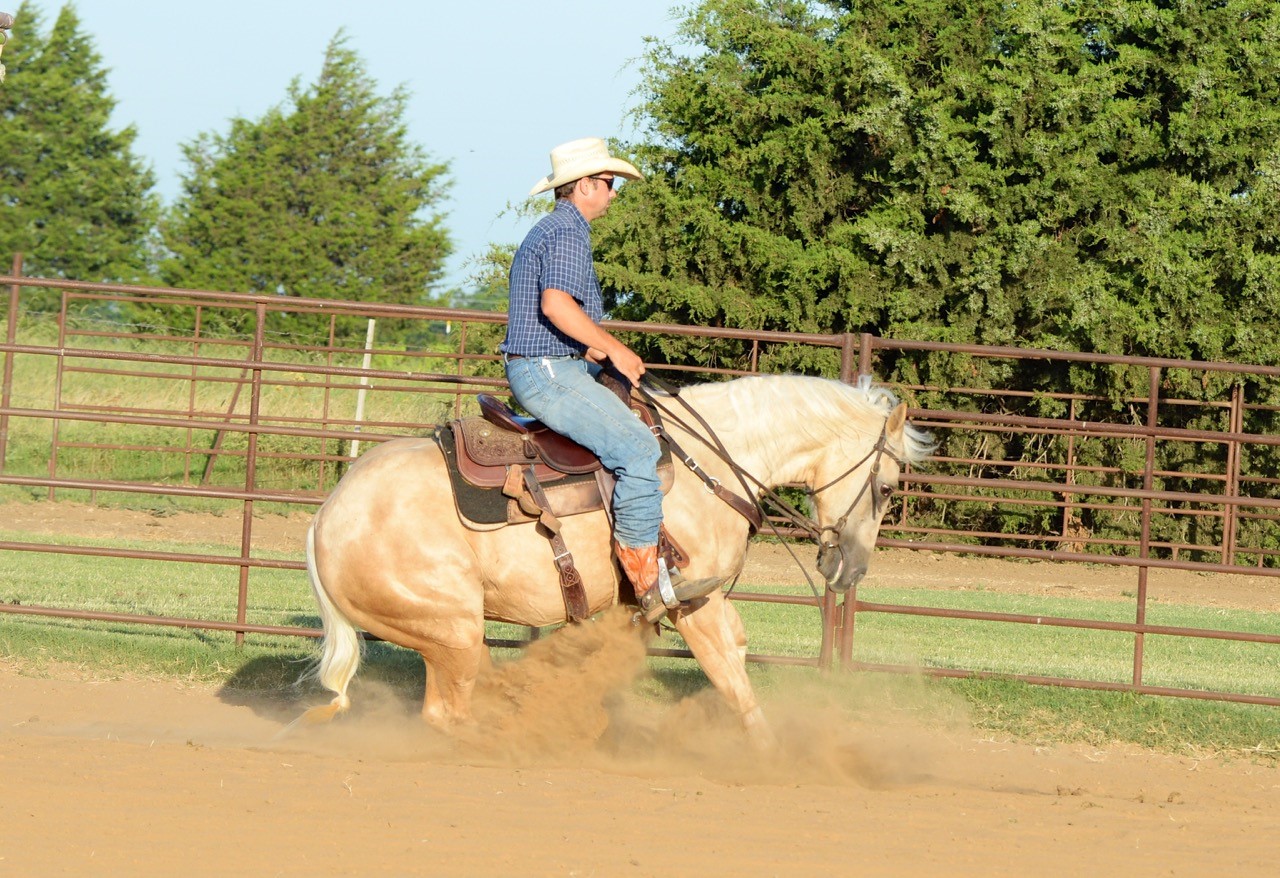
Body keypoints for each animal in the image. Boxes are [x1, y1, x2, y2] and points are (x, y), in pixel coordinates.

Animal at [298, 373, 933, 746]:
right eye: (886, 489)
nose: (850, 570)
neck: (712, 461)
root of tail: (325, 518)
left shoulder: (699, 602)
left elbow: (733, 663)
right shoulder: (692, 600)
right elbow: (730, 677)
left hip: (458, 633)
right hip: (450, 627)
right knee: (445, 714)